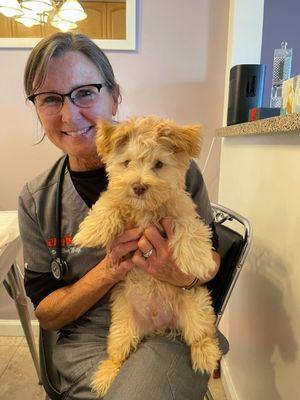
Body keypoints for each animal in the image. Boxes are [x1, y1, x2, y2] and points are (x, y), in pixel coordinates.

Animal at [74, 115, 221, 396]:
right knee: (117, 354)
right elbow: (108, 203)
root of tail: (159, 324)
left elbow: (190, 228)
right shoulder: (118, 197)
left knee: (200, 336)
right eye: (127, 163)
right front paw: (89, 231)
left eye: (159, 164)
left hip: (198, 306)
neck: (145, 210)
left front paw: (198, 260)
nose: (139, 186)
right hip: (121, 328)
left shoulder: (181, 209)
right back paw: (105, 376)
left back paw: (206, 355)